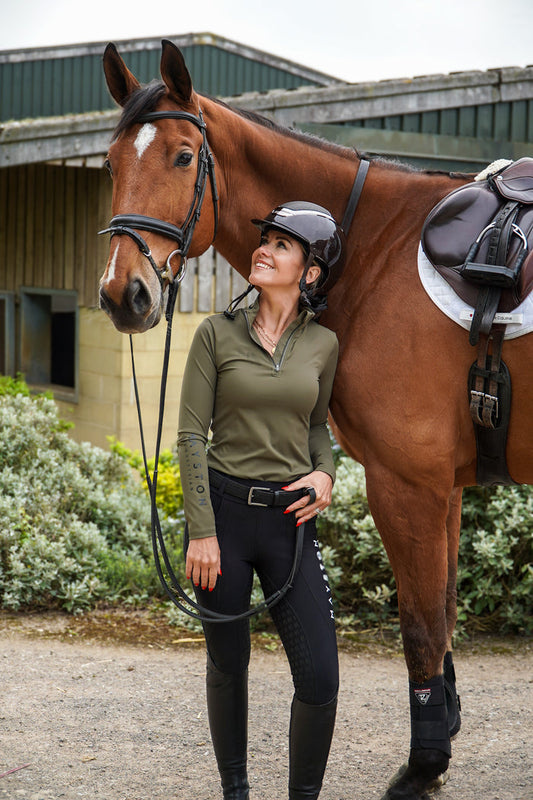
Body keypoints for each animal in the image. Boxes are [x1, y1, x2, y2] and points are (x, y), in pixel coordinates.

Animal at [98, 40, 533, 800]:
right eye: (112, 164)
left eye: (182, 157)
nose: (124, 294)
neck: (375, 246)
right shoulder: (443, 487)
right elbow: (443, 613)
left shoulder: (408, 484)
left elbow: (422, 626)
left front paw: (423, 768)